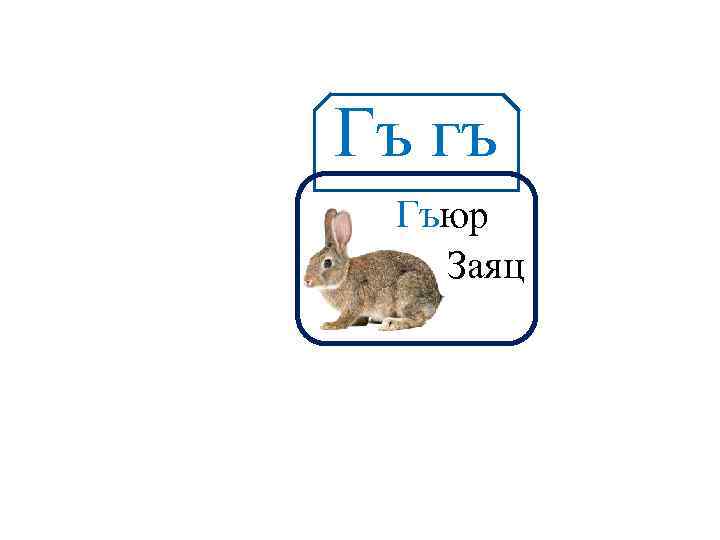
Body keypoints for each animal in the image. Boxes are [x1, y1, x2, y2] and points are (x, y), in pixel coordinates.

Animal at [303, 208, 442, 331]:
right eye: (311, 259)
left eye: (327, 263)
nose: (306, 281)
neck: (344, 275)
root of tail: (436, 298)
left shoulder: (354, 301)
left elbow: (346, 318)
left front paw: (331, 325)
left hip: (406, 292)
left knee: (418, 319)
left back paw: (391, 324)